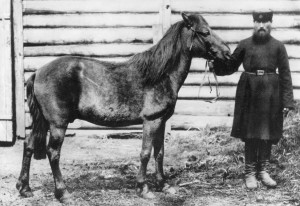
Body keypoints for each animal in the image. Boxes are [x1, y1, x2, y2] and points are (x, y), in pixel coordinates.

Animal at [16, 13, 231, 203]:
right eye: (205, 32)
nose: (227, 52)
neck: (159, 76)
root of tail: (38, 72)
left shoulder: (161, 121)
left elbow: (159, 153)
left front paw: (163, 185)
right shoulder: (151, 121)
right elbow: (145, 153)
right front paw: (144, 189)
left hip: (42, 121)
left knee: (29, 145)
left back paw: (24, 188)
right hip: (57, 124)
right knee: (53, 153)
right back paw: (63, 193)